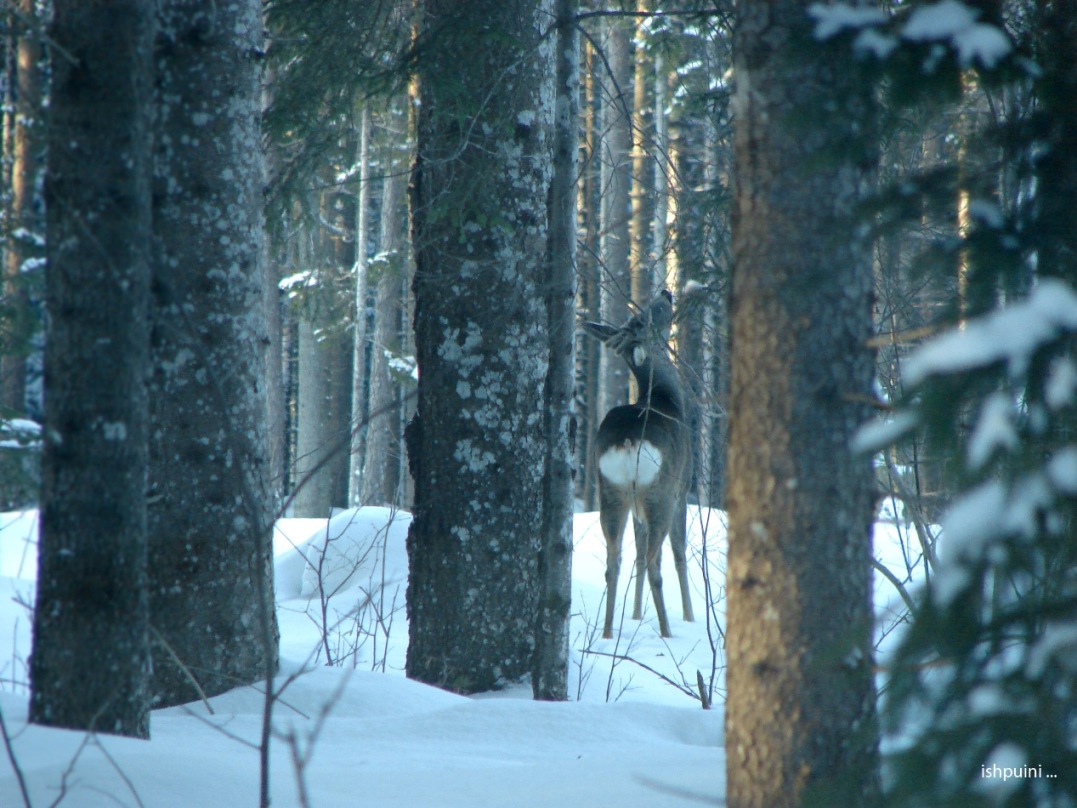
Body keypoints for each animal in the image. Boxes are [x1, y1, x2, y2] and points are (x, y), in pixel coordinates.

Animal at [585, 290, 693, 637]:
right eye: (647, 316)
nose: (666, 293)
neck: (664, 395)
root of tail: (629, 441)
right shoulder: (683, 490)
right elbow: (679, 553)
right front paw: (690, 616)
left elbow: (636, 555)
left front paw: (633, 614)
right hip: (660, 491)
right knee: (655, 560)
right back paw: (668, 631)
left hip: (613, 490)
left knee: (615, 561)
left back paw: (607, 633)